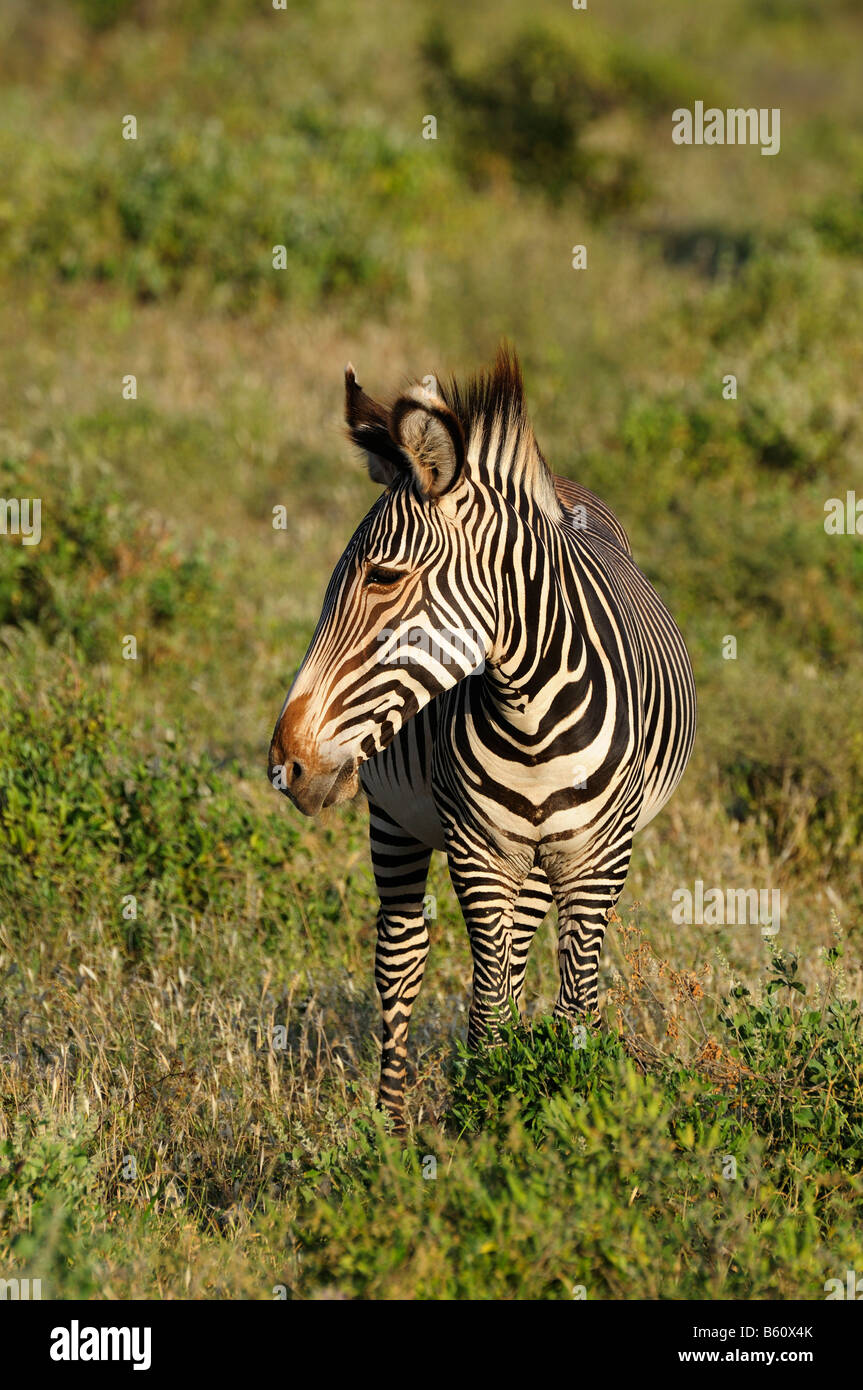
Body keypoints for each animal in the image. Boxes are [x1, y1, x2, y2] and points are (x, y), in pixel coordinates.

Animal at [269, 344, 692, 1128]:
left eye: (383, 577)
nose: (287, 765)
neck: (532, 719)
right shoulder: (477, 851)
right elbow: (487, 1008)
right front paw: (483, 1117)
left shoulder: (598, 861)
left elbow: (574, 1007)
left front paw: (562, 1113)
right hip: (395, 819)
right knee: (402, 958)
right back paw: (391, 1127)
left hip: (539, 859)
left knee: (518, 954)